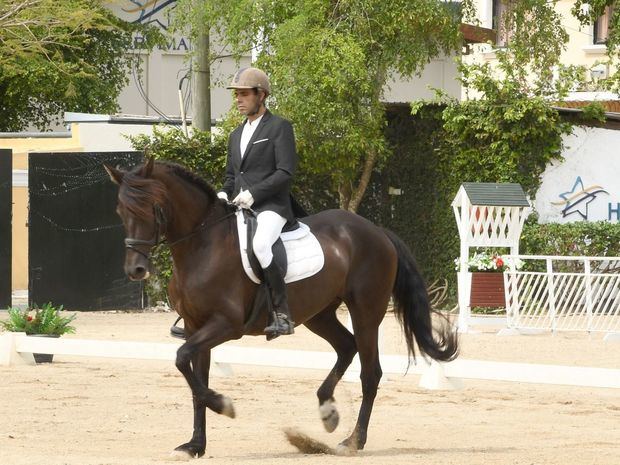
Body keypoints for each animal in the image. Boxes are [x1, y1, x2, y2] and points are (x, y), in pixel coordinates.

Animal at [105, 159, 456, 456]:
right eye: (120, 209)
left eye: (153, 207)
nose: (136, 270)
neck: (202, 245)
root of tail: (376, 230)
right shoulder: (195, 327)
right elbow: (194, 378)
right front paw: (194, 445)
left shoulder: (226, 325)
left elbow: (182, 360)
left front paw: (224, 405)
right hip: (319, 314)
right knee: (346, 346)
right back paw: (327, 412)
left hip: (366, 313)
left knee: (370, 372)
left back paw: (353, 440)